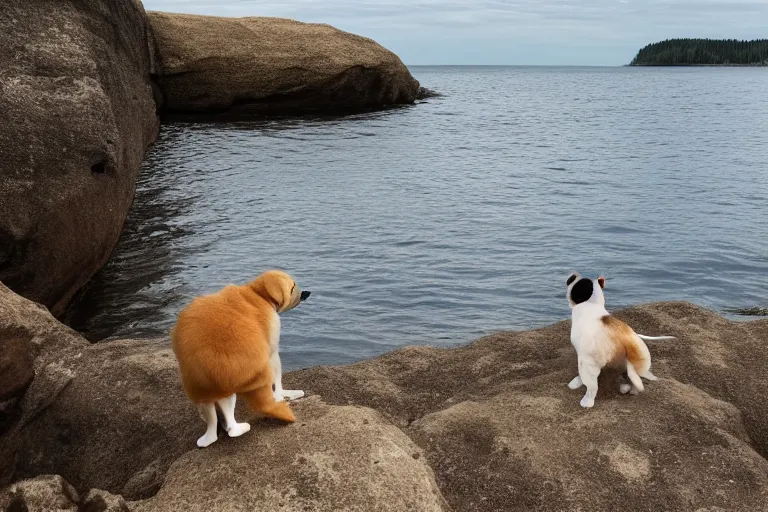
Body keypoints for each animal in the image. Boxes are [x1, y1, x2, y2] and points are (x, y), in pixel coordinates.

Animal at [171, 270, 308, 446]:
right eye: (292, 288)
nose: (306, 293)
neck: (257, 293)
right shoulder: (272, 333)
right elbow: (276, 367)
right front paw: (282, 394)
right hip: (242, 376)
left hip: (203, 384)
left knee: (214, 406)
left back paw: (215, 435)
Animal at [564, 274, 672, 410]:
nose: (572, 276)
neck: (592, 303)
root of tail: (624, 341)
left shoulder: (584, 358)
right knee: (632, 378)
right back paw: (630, 389)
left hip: (589, 365)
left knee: (592, 387)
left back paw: (587, 401)